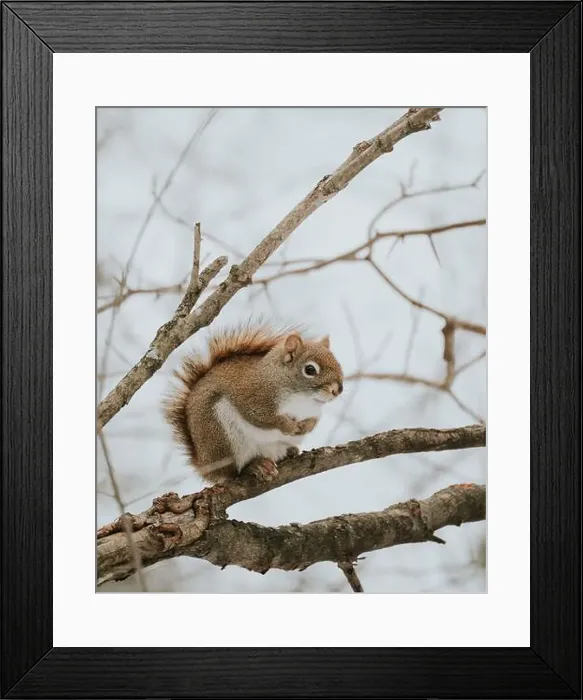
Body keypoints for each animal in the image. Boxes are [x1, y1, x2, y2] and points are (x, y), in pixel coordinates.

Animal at [163, 323, 343, 484]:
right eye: (310, 370)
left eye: (338, 363)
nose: (338, 390)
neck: (303, 400)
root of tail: (204, 466)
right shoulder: (252, 398)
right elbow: (264, 418)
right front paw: (288, 426)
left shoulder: (314, 411)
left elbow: (314, 421)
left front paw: (306, 426)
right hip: (222, 437)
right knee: (233, 473)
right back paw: (255, 466)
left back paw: (289, 452)